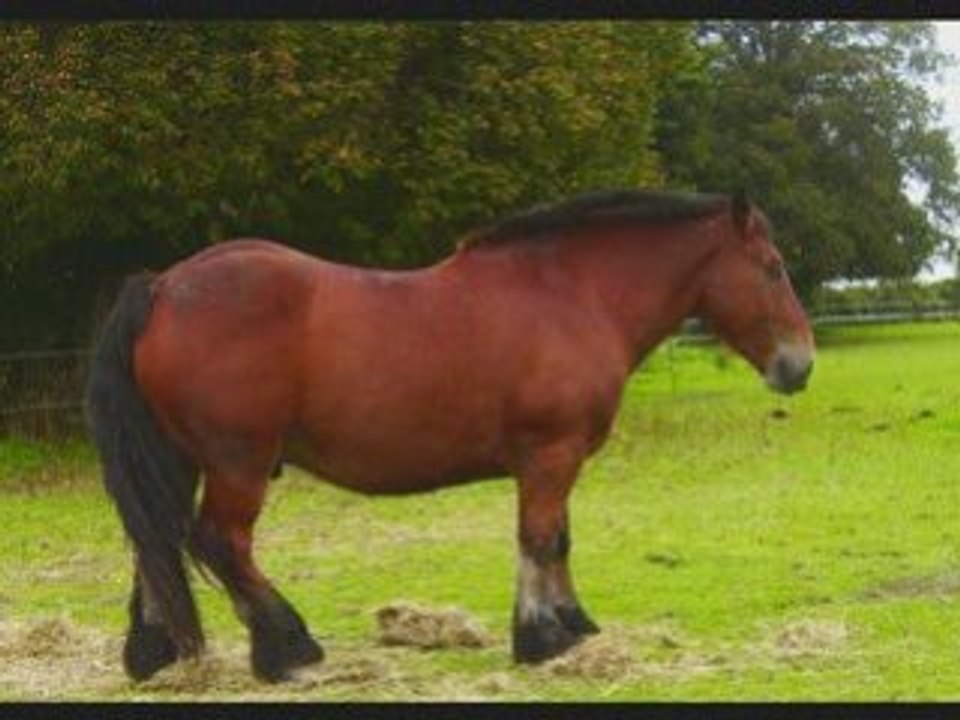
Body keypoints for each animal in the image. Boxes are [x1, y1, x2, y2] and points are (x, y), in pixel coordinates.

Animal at [86, 189, 814, 683]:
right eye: (773, 266)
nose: (799, 365)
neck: (570, 295)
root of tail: (164, 286)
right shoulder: (550, 455)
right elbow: (539, 539)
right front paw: (541, 638)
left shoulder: (557, 459)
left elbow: (558, 540)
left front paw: (572, 625)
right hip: (239, 462)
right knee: (221, 542)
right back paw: (287, 647)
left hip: (178, 459)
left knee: (156, 542)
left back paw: (152, 654)